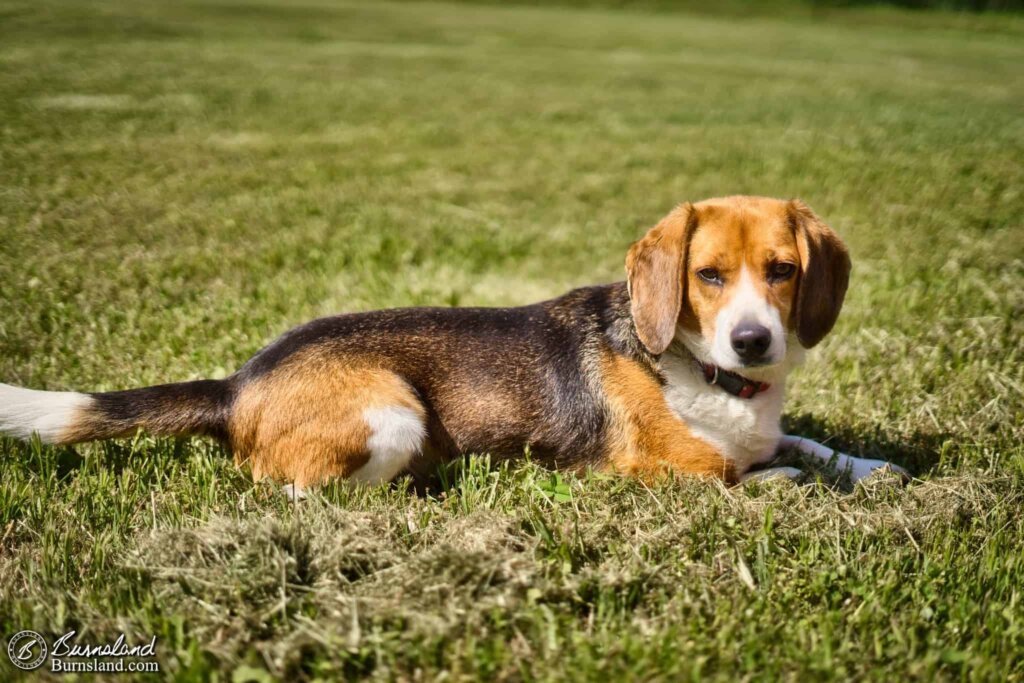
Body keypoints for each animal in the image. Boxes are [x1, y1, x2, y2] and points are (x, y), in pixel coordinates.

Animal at [4, 194, 909, 489]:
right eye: (710, 275)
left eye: (783, 270)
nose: (754, 341)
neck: (709, 374)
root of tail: (237, 383)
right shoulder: (665, 468)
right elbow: (751, 472)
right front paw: (793, 484)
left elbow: (811, 442)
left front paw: (871, 467)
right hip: (394, 412)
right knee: (295, 490)